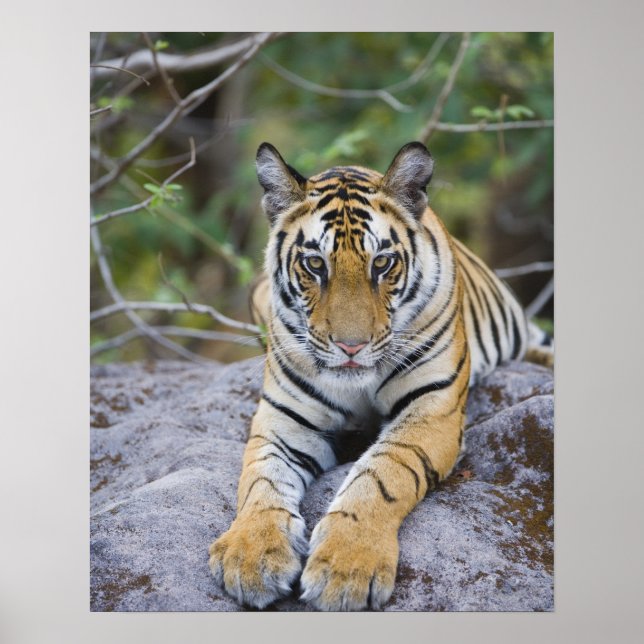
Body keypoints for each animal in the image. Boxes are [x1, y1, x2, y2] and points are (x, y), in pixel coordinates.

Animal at [208, 141, 553, 611]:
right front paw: (251, 553)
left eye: (383, 263)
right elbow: (260, 479)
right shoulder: (283, 419)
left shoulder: (433, 410)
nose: (351, 346)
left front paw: (346, 567)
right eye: (315, 264)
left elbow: (382, 474)